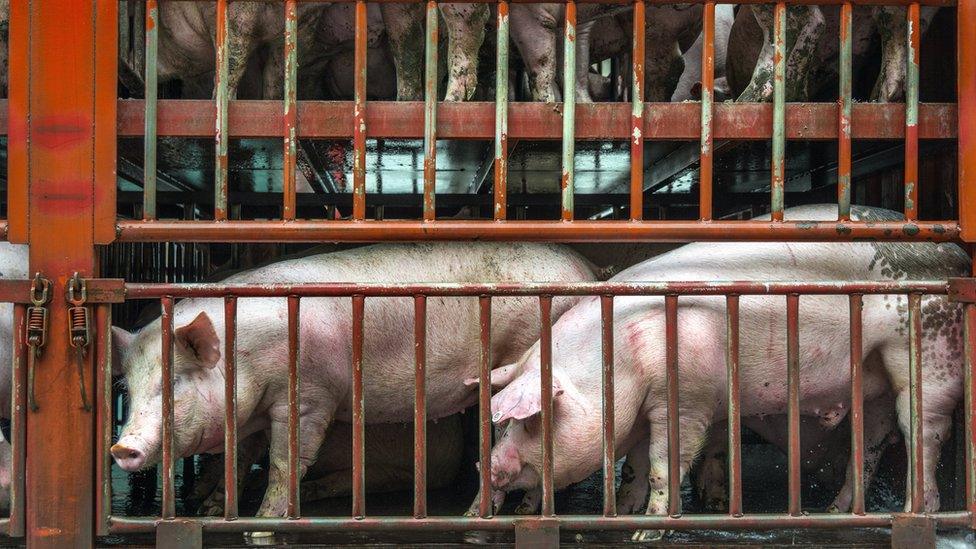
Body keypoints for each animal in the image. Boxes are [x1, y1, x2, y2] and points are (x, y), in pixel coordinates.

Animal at [474, 204, 968, 540]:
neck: (616, 363)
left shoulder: (686, 398)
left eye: (529, 420)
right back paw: (836, 513)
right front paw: (625, 516)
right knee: (871, 440)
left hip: (929, 348)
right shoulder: (641, 410)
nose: (487, 463)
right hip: (874, 373)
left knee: (924, 429)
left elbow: (662, 464)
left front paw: (645, 532)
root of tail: (956, 255)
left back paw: (919, 513)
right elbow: (633, 466)